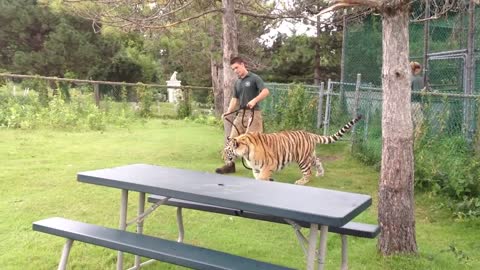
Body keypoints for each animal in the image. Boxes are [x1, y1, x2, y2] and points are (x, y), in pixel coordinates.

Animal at [223, 115, 362, 185]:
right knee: (318, 161)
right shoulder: (257, 168)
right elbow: (258, 178)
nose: (223, 159)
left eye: (226, 151)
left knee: (308, 173)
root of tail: (309, 134)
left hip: (303, 160)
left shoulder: (268, 165)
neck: (246, 153)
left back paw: (301, 182)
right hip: (309, 156)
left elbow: (262, 178)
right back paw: (320, 173)